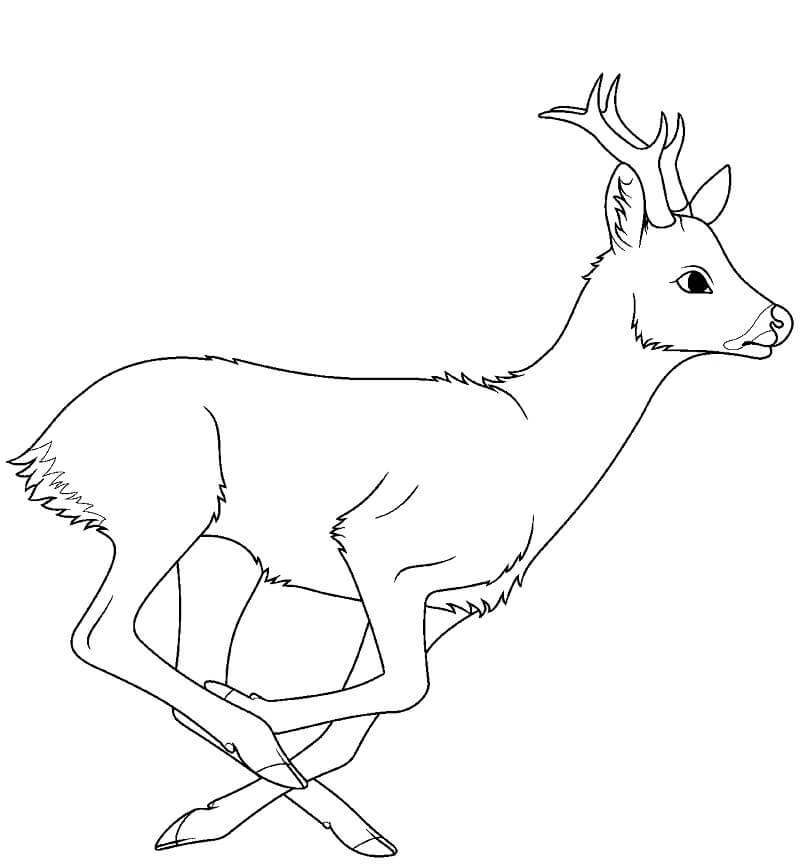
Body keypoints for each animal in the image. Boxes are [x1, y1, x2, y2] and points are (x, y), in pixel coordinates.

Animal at [9, 75, 793, 856]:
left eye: (730, 259)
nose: (779, 321)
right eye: (694, 278)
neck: (536, 444)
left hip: (222, 554)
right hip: (164, 514)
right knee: (100, 633)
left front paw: (268, 817)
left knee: (186, 666)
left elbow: (361, 722)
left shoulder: (443, 601)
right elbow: (405, 689)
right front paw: (270, 729)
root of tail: (45, 450)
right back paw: (252, 733)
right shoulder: (379, 547)